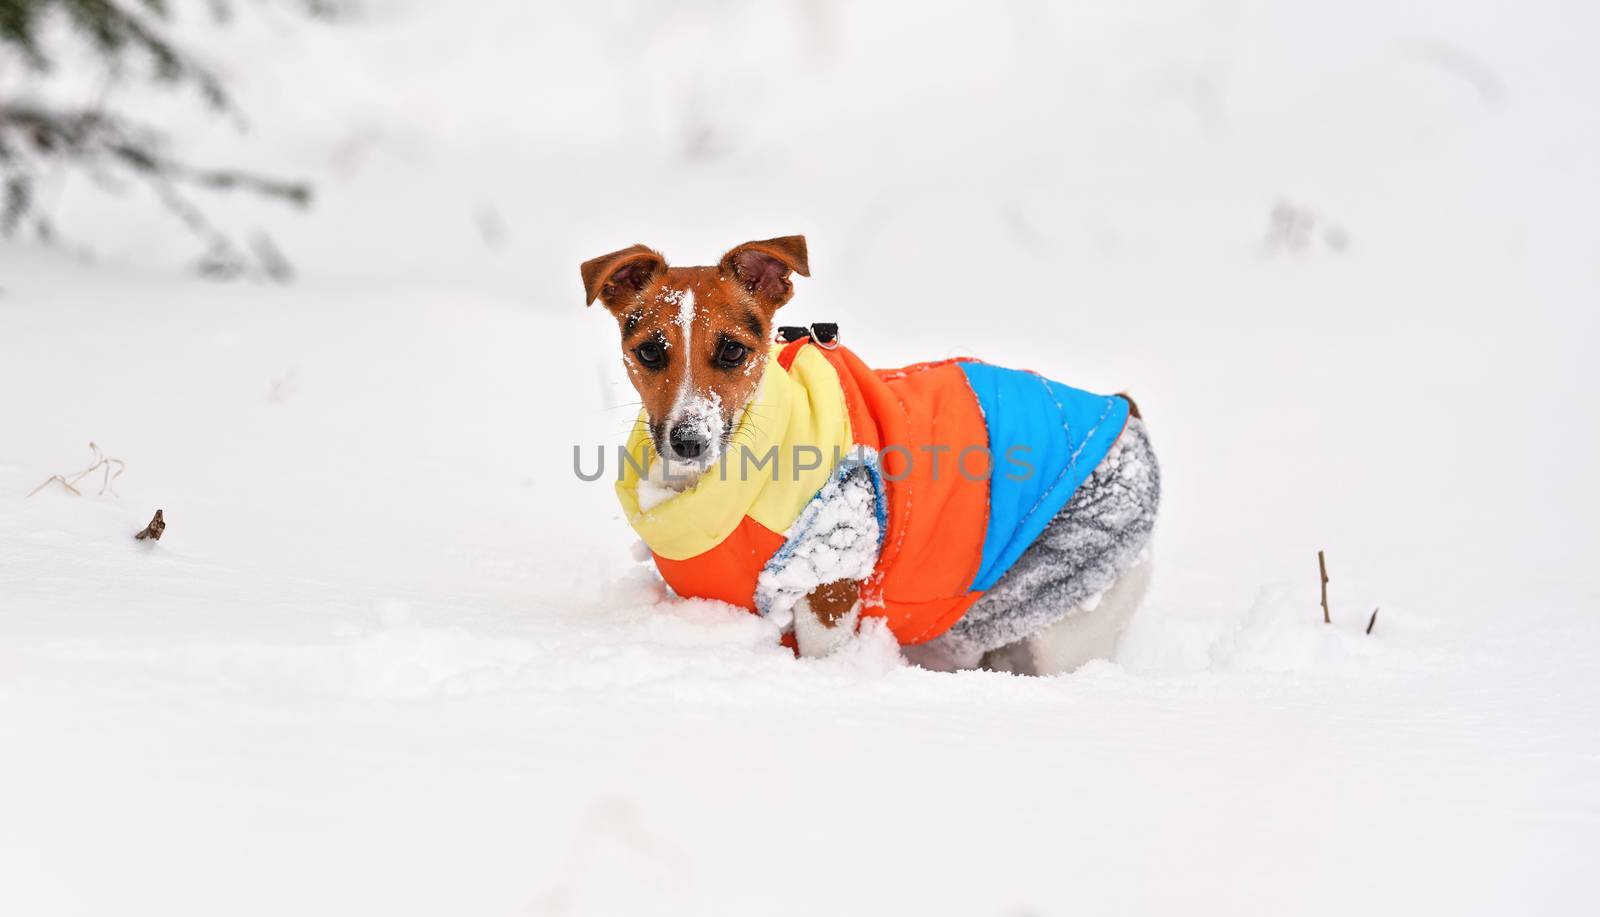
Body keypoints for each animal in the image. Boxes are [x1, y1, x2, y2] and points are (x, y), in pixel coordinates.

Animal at [582, 233, 1158, 672]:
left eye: (731, 351)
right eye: (649, 351)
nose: (688, 439)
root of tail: (1123, 414)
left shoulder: (829, 584)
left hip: (1067, 606)